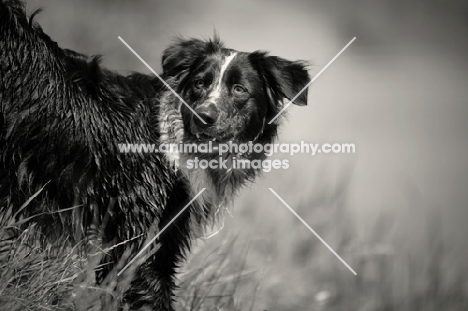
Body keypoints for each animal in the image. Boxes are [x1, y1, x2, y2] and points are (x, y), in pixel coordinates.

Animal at [0, 1, 310, 310]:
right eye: (199, 83)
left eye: (239, 89)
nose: (203, 116)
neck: (172, 142)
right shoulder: (140, 230)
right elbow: (149, 290)